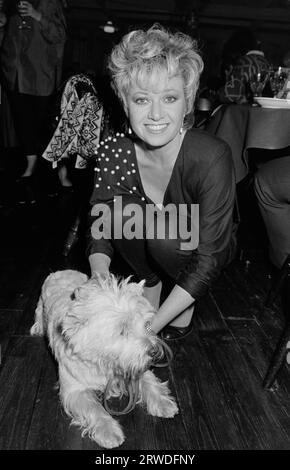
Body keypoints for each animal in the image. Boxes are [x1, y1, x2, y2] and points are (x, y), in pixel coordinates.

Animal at [30, 270, 178, 446]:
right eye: (122, 330)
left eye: (147, 324)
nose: (155, 352)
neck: (103, 363)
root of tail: (61, 271)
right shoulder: (74, 391)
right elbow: (94, 408)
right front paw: (109, 431)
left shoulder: (132, 366)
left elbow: (150, 382)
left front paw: (163, 402)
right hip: (41, 302)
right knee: (38, 313)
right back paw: (37, 327)